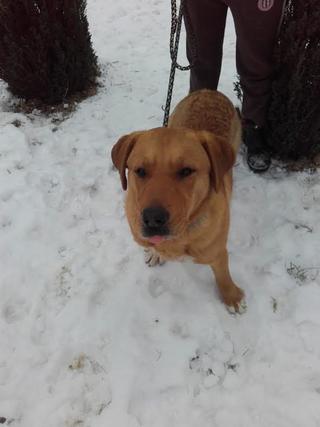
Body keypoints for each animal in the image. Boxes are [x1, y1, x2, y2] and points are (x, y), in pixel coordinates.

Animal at [111, 88, 246, 312]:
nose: (152, 219)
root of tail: (210, 91)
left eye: (186, 171)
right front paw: (155, 253)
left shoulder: (218, 252)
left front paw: (231, 296)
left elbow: (223, 275)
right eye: (140, 171)